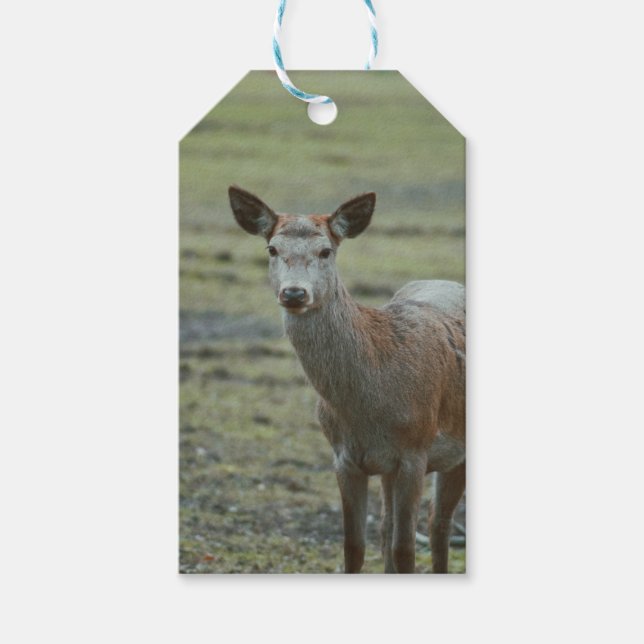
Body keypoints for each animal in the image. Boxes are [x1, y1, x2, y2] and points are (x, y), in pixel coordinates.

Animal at [228, 186, 466, 574]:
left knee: (437, 523)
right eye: (272, 249)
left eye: (326, 250)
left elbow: (405, 549)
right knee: (390, 526)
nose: (294, 293)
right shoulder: (344, 456)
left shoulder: (415, 451)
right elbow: (354, 546)